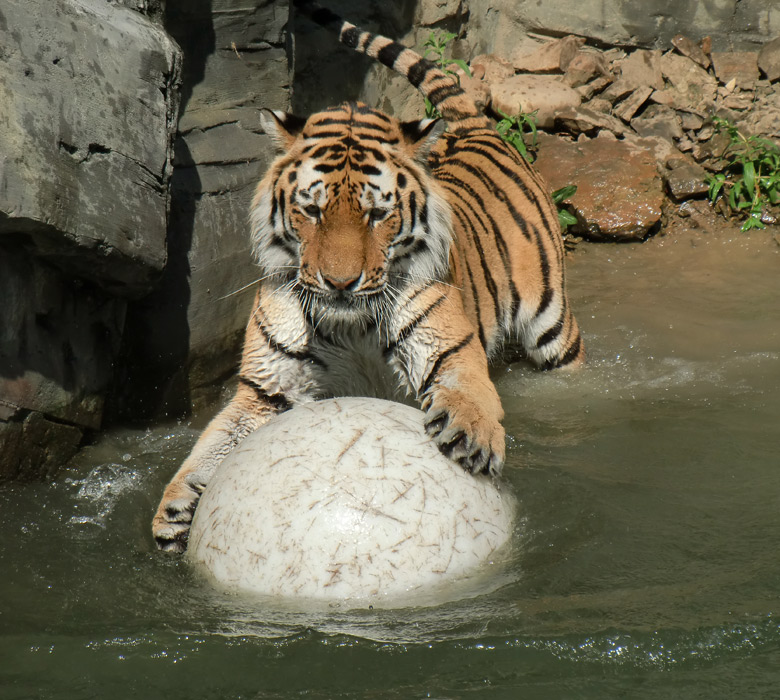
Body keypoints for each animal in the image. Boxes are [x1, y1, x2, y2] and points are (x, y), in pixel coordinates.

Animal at [152, 0, 580, 552]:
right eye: (311, 210)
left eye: (377, 215)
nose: (340, 283)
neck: (350, 324)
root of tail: (478, 129)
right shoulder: (264, 390)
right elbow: (214, 441)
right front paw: (176, 506)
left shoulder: (450, 350)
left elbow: (467, 390)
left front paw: (471, 437)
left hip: (553, 327)